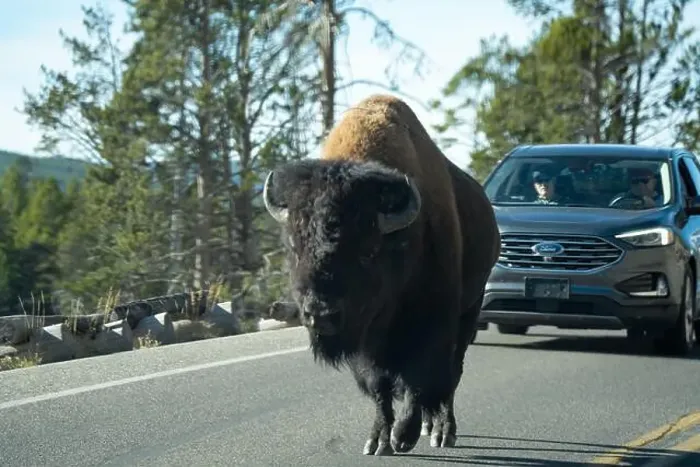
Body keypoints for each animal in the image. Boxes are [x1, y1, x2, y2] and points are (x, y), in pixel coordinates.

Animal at [262, 94, 500, 455]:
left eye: (368, 251)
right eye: (294, 247)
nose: (321, 315)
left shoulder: (430, 324)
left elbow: (419, 376)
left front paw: (403, 435)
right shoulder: (364, 341)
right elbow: (379, 385)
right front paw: (378, 440)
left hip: (470, 312)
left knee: (452, 375)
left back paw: (442, 431)